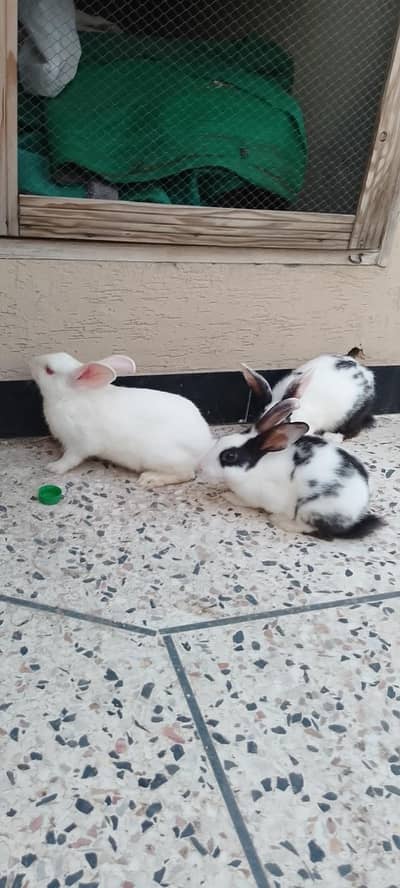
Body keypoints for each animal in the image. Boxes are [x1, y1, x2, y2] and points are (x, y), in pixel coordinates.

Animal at [30, 352, 213, 487]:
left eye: (49, 370)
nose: (32, 360)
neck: (69, 397)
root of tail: (204, 446)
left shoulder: (80, 444)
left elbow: (70, 458)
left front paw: (54, 467)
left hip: (162, 457)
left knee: (187, 474)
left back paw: (149, 479)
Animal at [199, 397, 382, 539]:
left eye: (229, 456)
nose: (202, 468)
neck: (254, 469)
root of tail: (356, 517)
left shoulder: (258, 497)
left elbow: (245, 502)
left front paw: (228, 496)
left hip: (310, 509)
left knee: (313, 529)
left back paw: (280, 521)